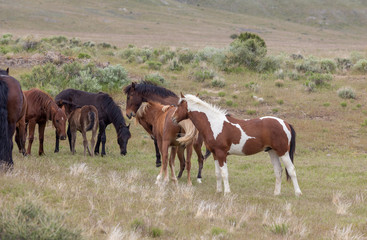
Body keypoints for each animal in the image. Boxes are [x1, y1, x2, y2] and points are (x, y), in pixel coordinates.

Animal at [174, 94, 304, 197]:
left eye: (179, 105)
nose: (173, 118)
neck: (214, 123)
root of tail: (285, 123)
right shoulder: (215, 155)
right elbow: (218, 174)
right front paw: (218, 191)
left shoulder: (221, 154)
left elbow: (224, 173)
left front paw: (227, 192)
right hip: (272, 151)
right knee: (278, 170)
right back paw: (276, 193)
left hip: (283, 151)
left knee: (291, 170)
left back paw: (298, 193)